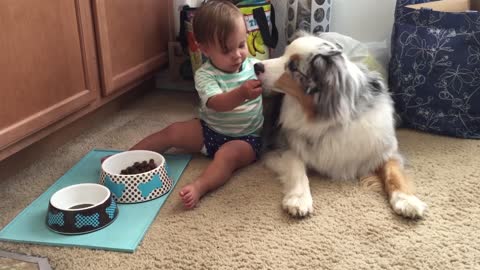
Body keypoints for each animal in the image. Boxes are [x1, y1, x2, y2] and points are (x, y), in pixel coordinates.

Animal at [255, 31, 428, 218]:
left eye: (294, 67)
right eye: (283, 53)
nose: (256, 66)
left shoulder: (383, 149)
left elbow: (394, 173)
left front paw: (407, 200)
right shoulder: (278, 145)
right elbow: (297, 165)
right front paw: (299, 199)